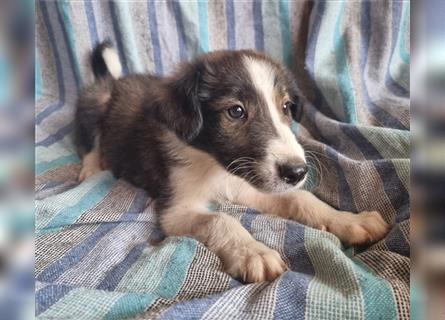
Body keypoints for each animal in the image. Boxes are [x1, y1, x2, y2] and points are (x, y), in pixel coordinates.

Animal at [74, 42, 386, 282]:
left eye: (286, 107)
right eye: (236, 111)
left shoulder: (248, 183)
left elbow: (301, 199)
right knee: (93, 140)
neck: (215, 167)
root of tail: (116, 81)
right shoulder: (176, 208)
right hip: (94, 103)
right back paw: (90, 167)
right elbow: (220, 219)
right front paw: (254, 252)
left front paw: (349, 220)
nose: (297, 172)